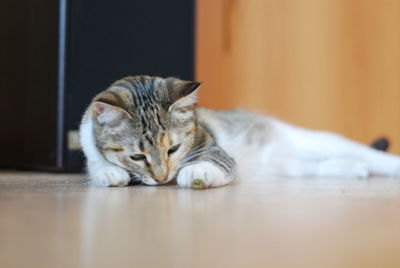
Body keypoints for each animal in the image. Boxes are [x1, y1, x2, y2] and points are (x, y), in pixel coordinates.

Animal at [79, 75, 400, 188]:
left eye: (173, 149)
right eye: (137, 156)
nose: (161, 177)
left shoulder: (212, 146)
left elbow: (213, 161)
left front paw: (197, 172)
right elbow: (97, 163)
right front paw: (109, 173)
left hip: (319, 141)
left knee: (369, 154)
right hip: (292, 165)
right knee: (317, 167)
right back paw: (352, 169)